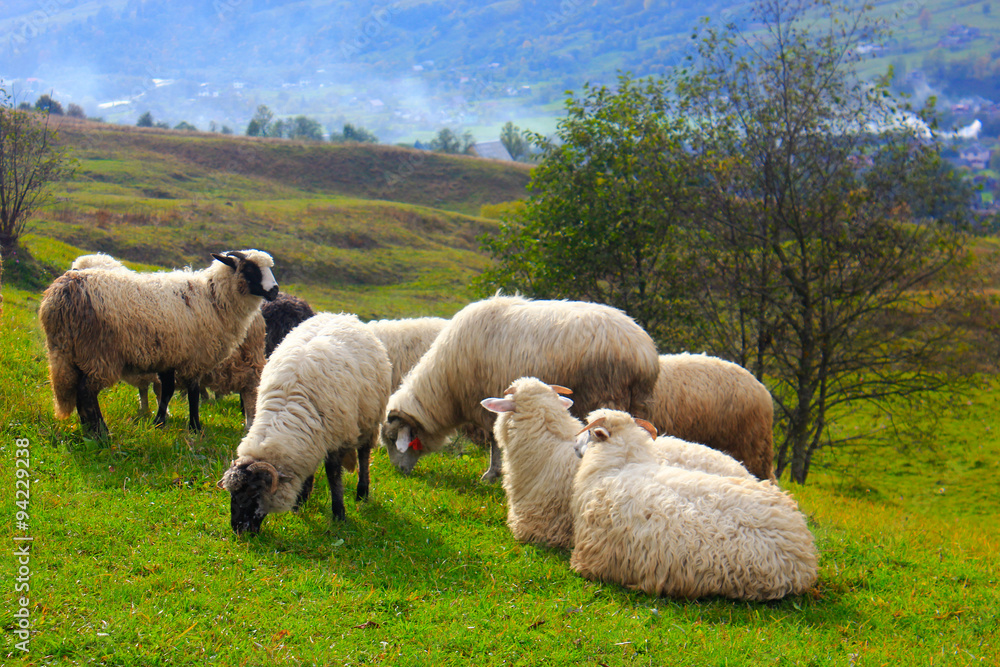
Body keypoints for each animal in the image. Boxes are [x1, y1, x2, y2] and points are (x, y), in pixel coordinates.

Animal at [39, 250, 278, 438]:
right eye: (250, 269)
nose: (275, 290)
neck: (213, 297)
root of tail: (61, 294)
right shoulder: (194, 357)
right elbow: (192, 393)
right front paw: (195, 427)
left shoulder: (169, 356)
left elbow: (168, 390)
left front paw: (159, 422)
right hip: (98, 353)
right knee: (86, 392)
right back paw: (101, 433)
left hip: (70, 354)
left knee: (80, 393)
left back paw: (90, 430)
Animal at [218, 312, 392, 534]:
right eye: (232, 493)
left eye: (254, 491)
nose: (238, 529)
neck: (287, 408)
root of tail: (344, 315)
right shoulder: (310, 438)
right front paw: (300, 503)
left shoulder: (336, 438)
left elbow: (333, 474)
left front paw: (339, 514)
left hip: (369, 420)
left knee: (363, 454)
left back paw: (362, 493)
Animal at [381, 294, 660, 481]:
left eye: (394, 439)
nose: (398, 472)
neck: (446, 386)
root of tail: (644, 351)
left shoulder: (486, 403)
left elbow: (494, 442)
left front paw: (491, 474)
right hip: (639, 402)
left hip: (607, 393)